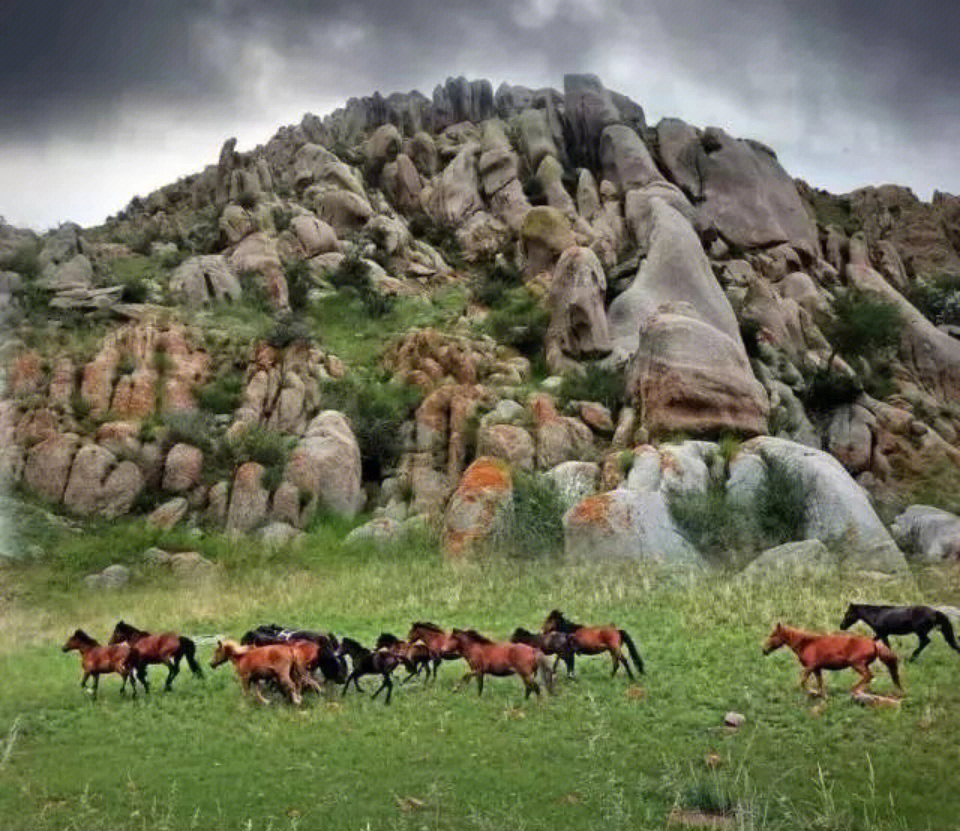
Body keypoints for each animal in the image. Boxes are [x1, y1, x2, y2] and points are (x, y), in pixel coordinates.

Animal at [760, 620, 904, 700]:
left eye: (773, 635)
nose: (764, 650)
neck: (806, 643)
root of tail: (874, 642)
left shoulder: (810, 667)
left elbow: (802, 681)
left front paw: (810, 692)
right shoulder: (817, 669)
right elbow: (820, 684)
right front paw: (821, 696)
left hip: (857, 664)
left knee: (868, 676)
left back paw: (855, 690)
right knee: (869, 677)